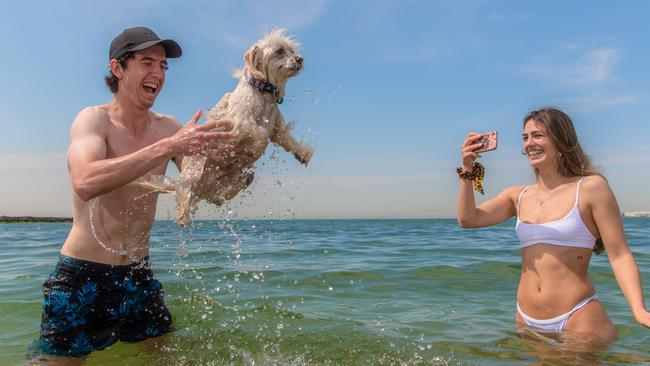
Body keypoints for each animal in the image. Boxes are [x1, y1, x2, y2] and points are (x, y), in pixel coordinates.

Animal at [140, 28, 312, 226]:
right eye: (279, 51)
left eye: (292, 51)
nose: (300, 59)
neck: (262, 92)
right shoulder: (240, 124)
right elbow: (260, 132)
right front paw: (258, 147)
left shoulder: (277, 128)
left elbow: (288, 139)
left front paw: (303, 153)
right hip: (192, 175)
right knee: (185, 198)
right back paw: (183, 216)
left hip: (230, 184)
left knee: (219, 198)